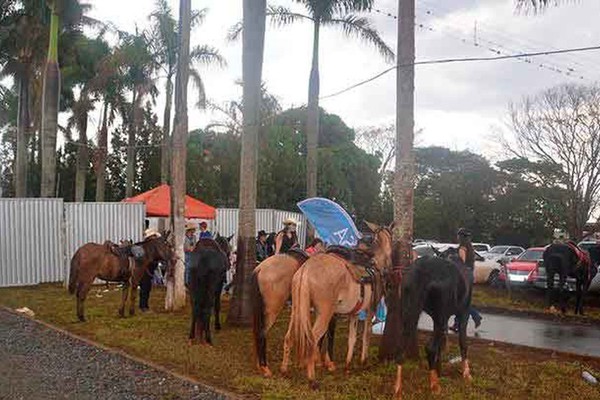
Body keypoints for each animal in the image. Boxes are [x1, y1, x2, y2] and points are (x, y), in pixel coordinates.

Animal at [284, 222, 396, 388]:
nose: (388, 269)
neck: (375, 264)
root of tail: (305, 270)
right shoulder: (370, 309)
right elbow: (366, 334)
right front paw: (363, 361)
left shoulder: (354, 313)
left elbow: (352, 337)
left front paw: (348, 364)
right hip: (324, 313)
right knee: (312, 340)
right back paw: (312, 379)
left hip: (298, 310)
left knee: (289, 336)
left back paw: (284, 370)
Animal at [394, 252, 474, 398]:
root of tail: (420, 273)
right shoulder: (464, 311)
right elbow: (463, 342)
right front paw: (466, 373)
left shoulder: (444, 317)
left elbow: (441, 343)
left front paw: (439, 370)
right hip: (439, 314)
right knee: (430, 347)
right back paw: (434, 385)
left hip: (409, 311)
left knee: (401, 347)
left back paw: (398, 389)